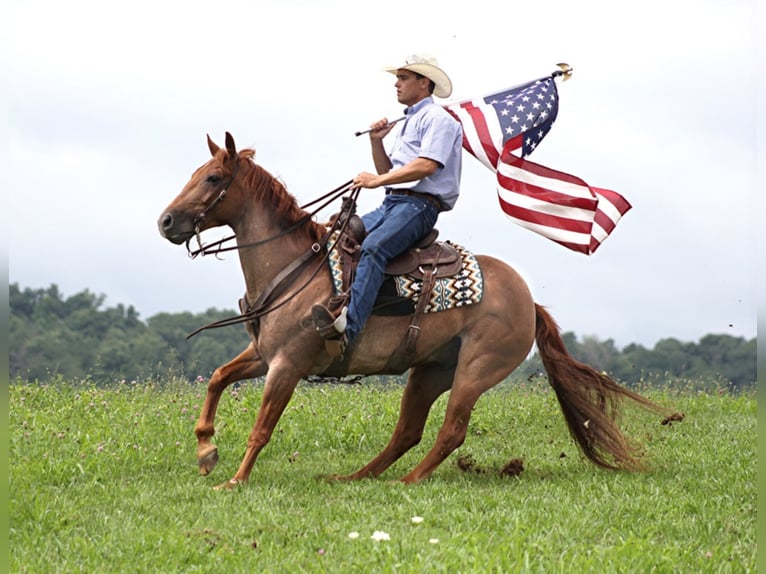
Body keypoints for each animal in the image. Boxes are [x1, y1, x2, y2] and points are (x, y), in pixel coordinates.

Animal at [156, 134, 680, 490]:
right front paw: (206, 451)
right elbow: (217, 379)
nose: (166, 221)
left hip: (475, 370)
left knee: (450, 431)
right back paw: (355, 478)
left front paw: (234, 480)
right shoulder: (264, 354)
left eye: (213, 178)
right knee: (406, 432)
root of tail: (529, 302)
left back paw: (407, 481)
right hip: (430, 370)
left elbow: (263, 427)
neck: (295, 266)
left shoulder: (288, 364)